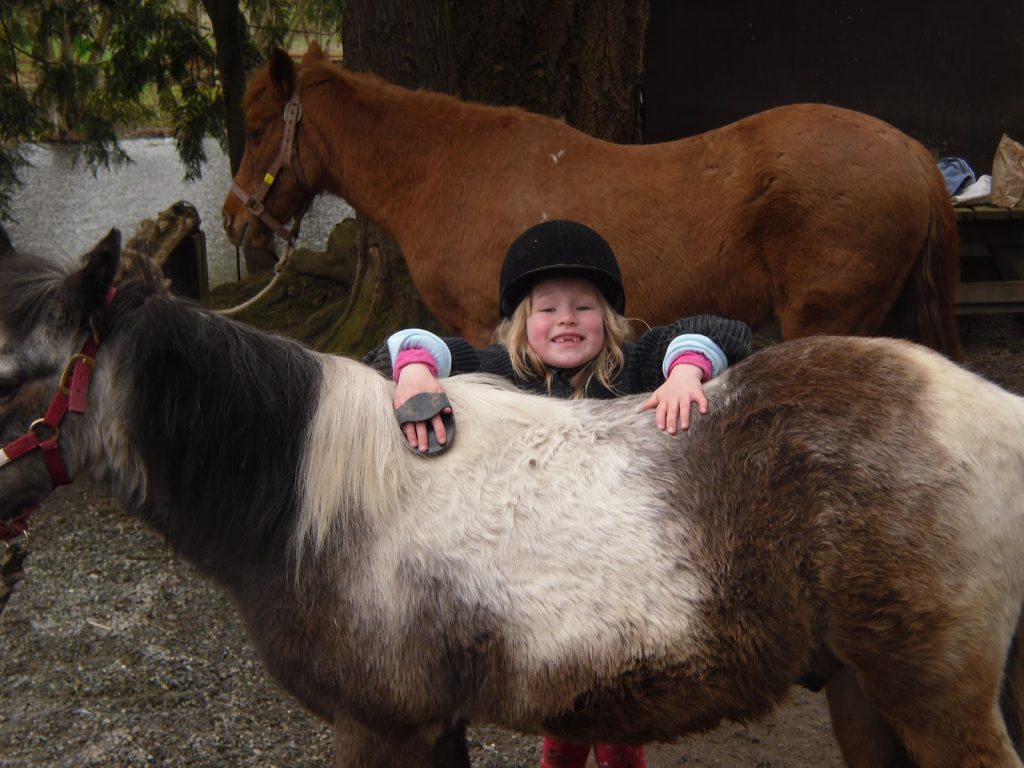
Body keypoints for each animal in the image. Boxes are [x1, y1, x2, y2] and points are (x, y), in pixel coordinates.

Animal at [2, 231, 1024, 765]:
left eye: (12, 374)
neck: (310, 505)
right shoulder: (428, 723)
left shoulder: (379, 726)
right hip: (864, 694)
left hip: (935, 701)